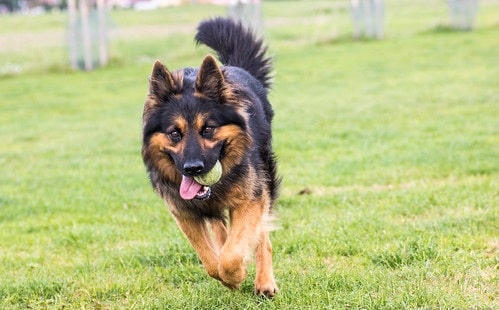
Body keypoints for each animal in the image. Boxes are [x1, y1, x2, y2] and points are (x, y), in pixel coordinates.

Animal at [142, 17, 282, 298]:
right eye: (175, 133)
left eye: (208, 129)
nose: (193, 168)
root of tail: (233, 67)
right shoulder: (184, 213)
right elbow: (210, 261)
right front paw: (229, 278)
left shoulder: (250, 200)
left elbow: (232, 254)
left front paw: (237, 275)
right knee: (220, 229)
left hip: (264, 183)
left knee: (261, 235)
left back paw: (264, 282)